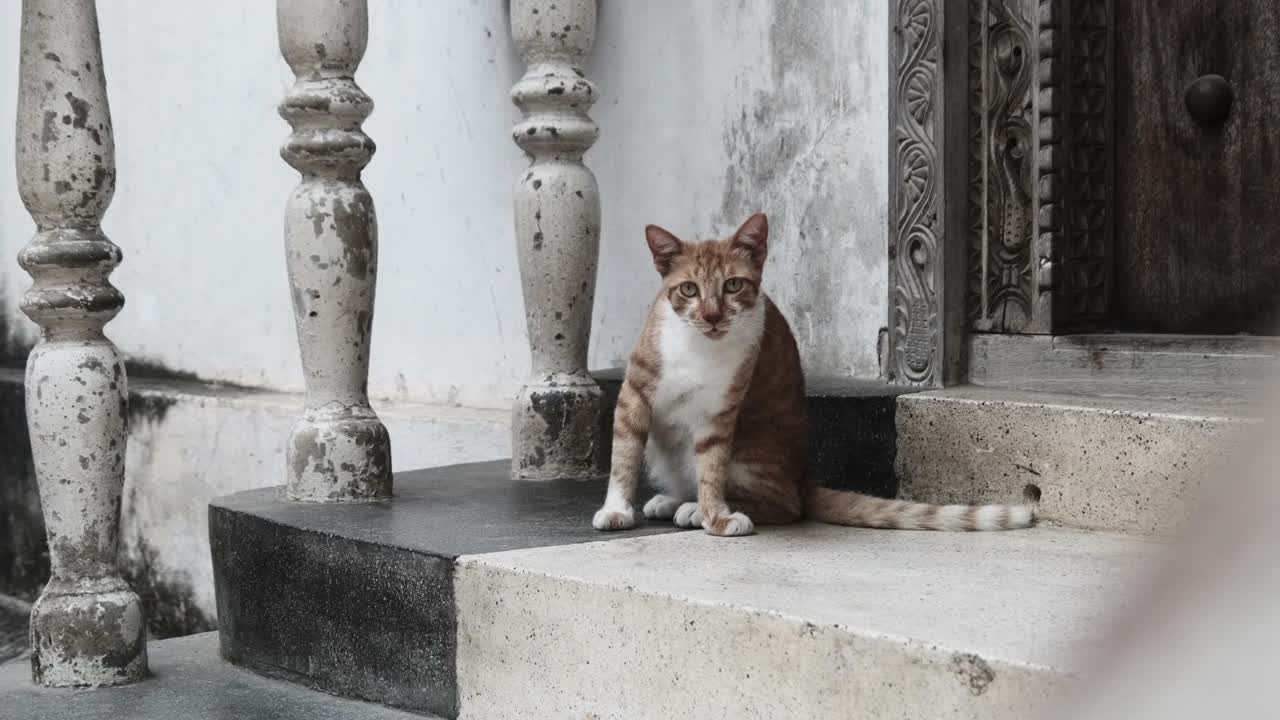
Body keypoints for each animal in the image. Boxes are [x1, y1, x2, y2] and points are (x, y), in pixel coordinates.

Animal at [593, 211, 1034, 532]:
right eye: (688, 290)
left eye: (733, 285)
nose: (713, 316)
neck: (697, 347)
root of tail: (803, 476)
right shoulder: (634, 395)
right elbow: (624, 457)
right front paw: (617, 509)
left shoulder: (720, 413)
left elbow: (711, 467)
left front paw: (714, 514)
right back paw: (674, 499)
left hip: (751, 453)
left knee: (787, 505)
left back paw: (693, 508)